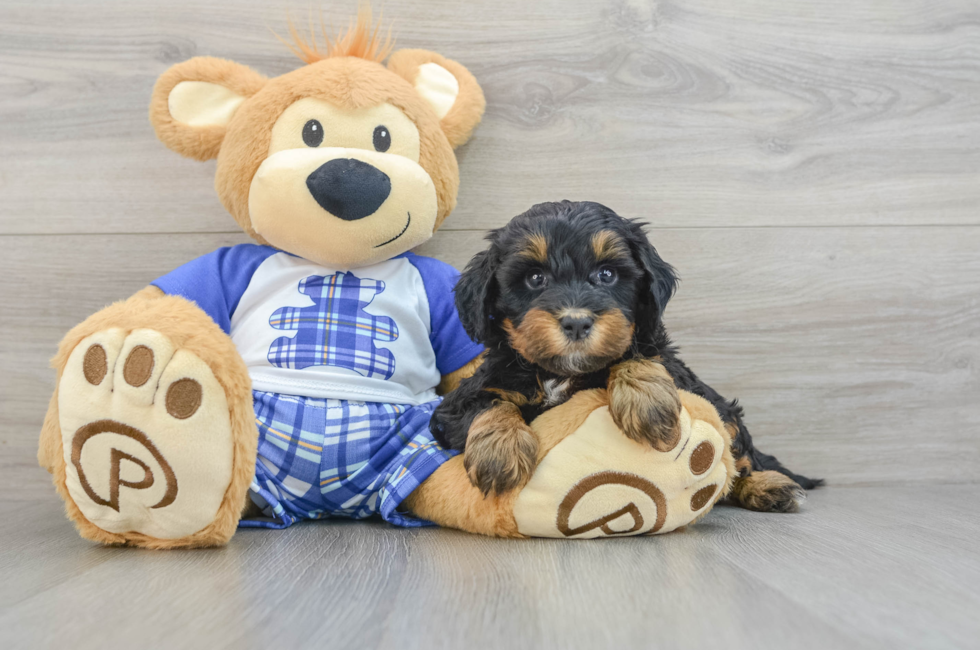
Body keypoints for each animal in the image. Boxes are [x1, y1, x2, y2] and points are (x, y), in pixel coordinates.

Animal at [432, 200, 824, 508]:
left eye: (607, 274)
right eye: (534, 278)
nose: (576, 322)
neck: (562, 373)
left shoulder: (665, 361)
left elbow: (636, 355)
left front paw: (647, 402)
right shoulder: (457, 404)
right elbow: (488, 403)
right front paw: (501, 451)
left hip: (722, 410)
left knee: (737, 453)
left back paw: (769, 486)